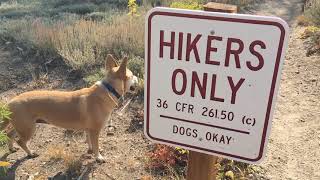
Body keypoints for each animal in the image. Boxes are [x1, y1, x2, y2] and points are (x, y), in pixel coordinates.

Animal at [2, 54, 138, 162]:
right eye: (132, 76)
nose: (138, 77)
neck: (108, 89)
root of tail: (10, 101)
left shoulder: (89, 130)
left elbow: (90, 142)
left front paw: (91, 150)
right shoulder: (95, 131)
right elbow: (95, 145)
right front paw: (98, 157)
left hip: (22, 126)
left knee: (9, 134)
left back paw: (11, 148)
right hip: (28, 128)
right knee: (20, 141)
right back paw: (30, 153)